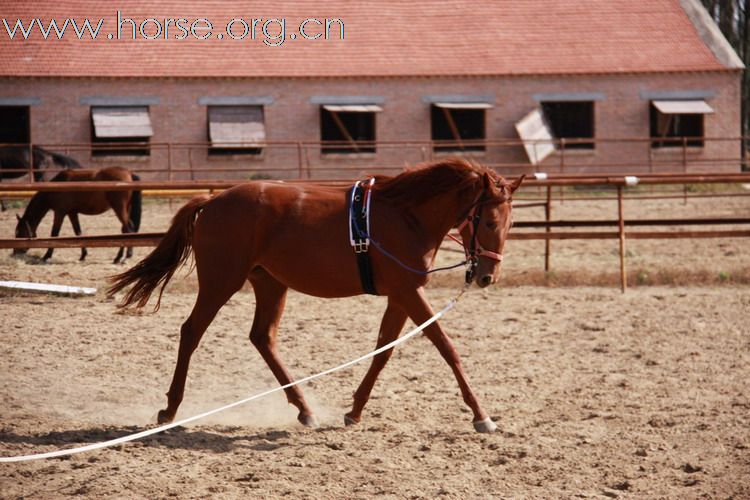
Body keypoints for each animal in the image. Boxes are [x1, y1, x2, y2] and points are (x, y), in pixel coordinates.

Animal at [13, 167, 142, 264]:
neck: (57, 187)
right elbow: (78, 233)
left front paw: (46, 256)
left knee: (128, 229)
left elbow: (54, 233)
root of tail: (129, 173)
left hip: (119, 208)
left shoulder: (60, 212)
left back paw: (123, 257)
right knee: (126, 229)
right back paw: (121, 257)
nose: (15, 252)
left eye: (19, 232)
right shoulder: (72, 213)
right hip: (125, 209)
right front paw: (83, 255)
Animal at [110, 158, 524, 432]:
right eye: (488, 221)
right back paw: (170, 410)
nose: (487, 276)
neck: (406, 216)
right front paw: (482, 416)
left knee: (262, 338)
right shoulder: (410, 292)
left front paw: (354, 411)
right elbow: (446, 347)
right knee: (191, 332)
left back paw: (304, 408)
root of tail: (211, 202)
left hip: (270, 284)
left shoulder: (399, 296)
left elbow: (384, 351)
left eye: (510, 223)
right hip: (220, 282)